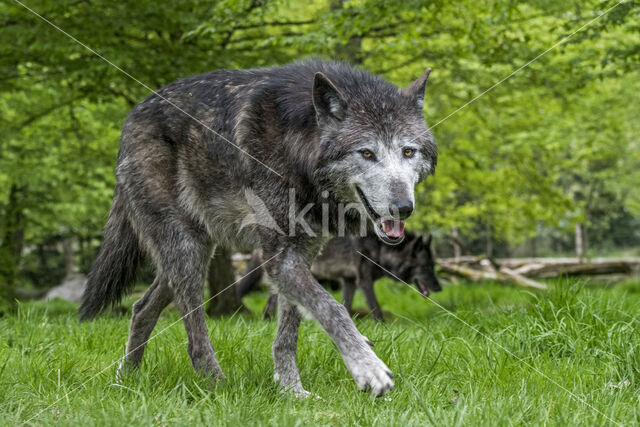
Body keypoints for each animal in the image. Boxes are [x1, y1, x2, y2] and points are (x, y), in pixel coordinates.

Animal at [238, 234, 442, 320]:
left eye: (433, 266)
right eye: (426, 267)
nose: (440, 288)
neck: (380, 248)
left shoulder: (349, 281)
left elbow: (347, 305)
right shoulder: (364, 281)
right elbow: (375, 307)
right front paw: (382, 326)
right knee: (270, 302)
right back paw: (268, 320)